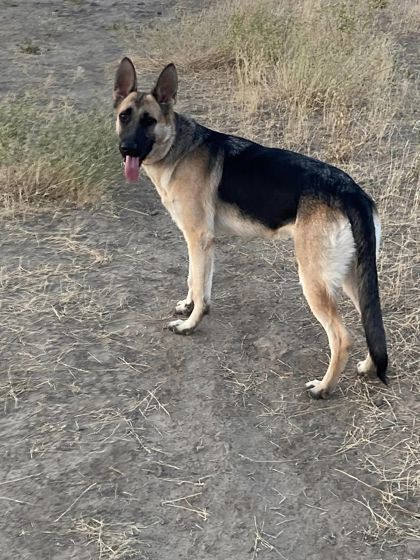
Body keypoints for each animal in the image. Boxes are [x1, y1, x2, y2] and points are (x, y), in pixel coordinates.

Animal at [112, 57, 388, 398]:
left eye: (149, 121)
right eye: (124, 116)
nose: (127, 149)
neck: (179, 146)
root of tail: (351, 192)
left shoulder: (198, 237)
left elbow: (198, 285)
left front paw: (190, 324)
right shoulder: (202, 242)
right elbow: (196, 281)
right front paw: (189, 306)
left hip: (313, 279)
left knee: (342, 337)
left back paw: (323, 387)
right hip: (352, 278)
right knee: (371, 321)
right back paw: (368, 367)